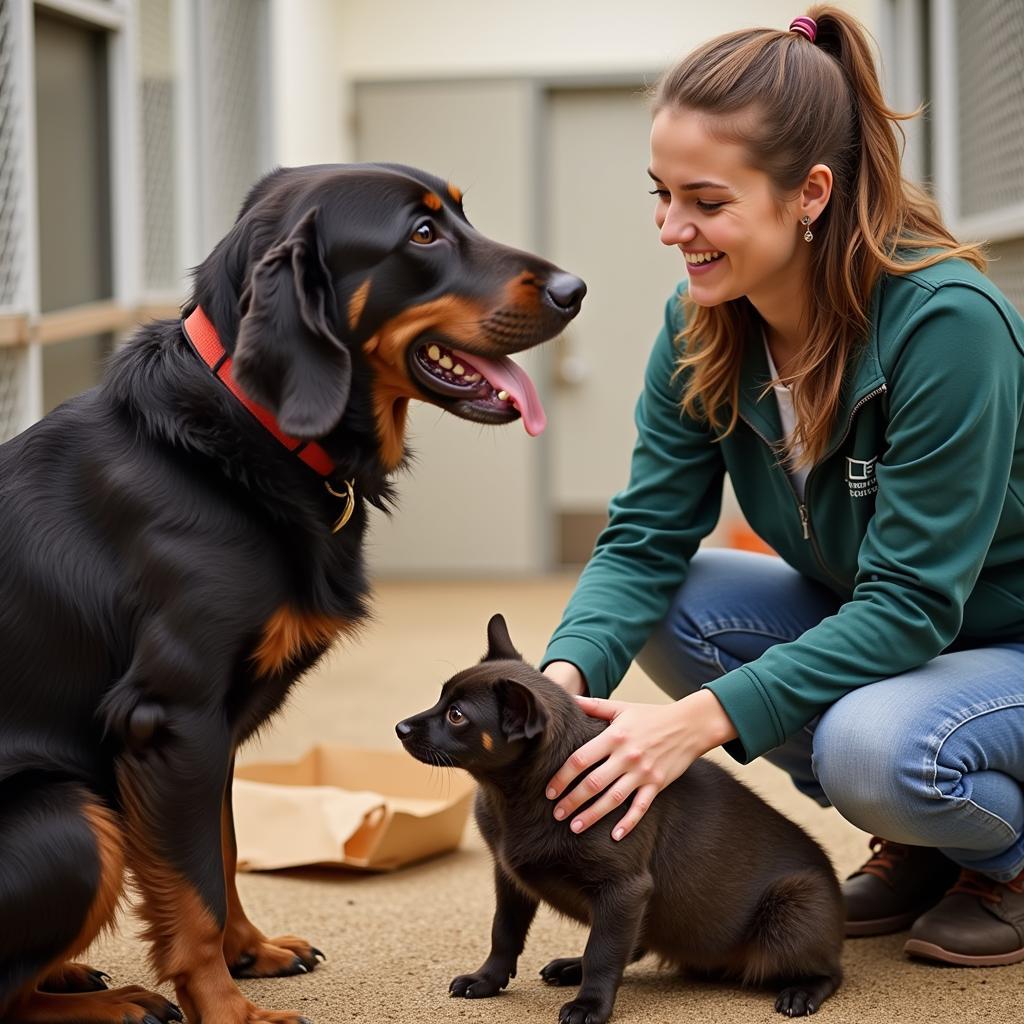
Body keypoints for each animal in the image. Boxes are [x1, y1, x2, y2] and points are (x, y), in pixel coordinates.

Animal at [2, 163, 585, 1019]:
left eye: (461, 214)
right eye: (422, 233)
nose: (577, 288)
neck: (246, 432)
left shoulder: (208, 732)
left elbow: (221, 851)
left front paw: (250, 952)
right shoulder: (173, 716)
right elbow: (194, 892)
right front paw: (227, 1008)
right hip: (75, 818)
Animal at [395, 614, 843, 1024]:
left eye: (456, 716)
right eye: (441, 699)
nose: (399, 727)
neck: (518, 795)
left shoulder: (623, 890)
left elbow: (604, 952)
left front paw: (590, 1006)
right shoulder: (510, 879)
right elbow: (504, 932)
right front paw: (486, 979)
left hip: (790, 914)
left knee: (830, 972)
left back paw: (802, 991)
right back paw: (570, 967)